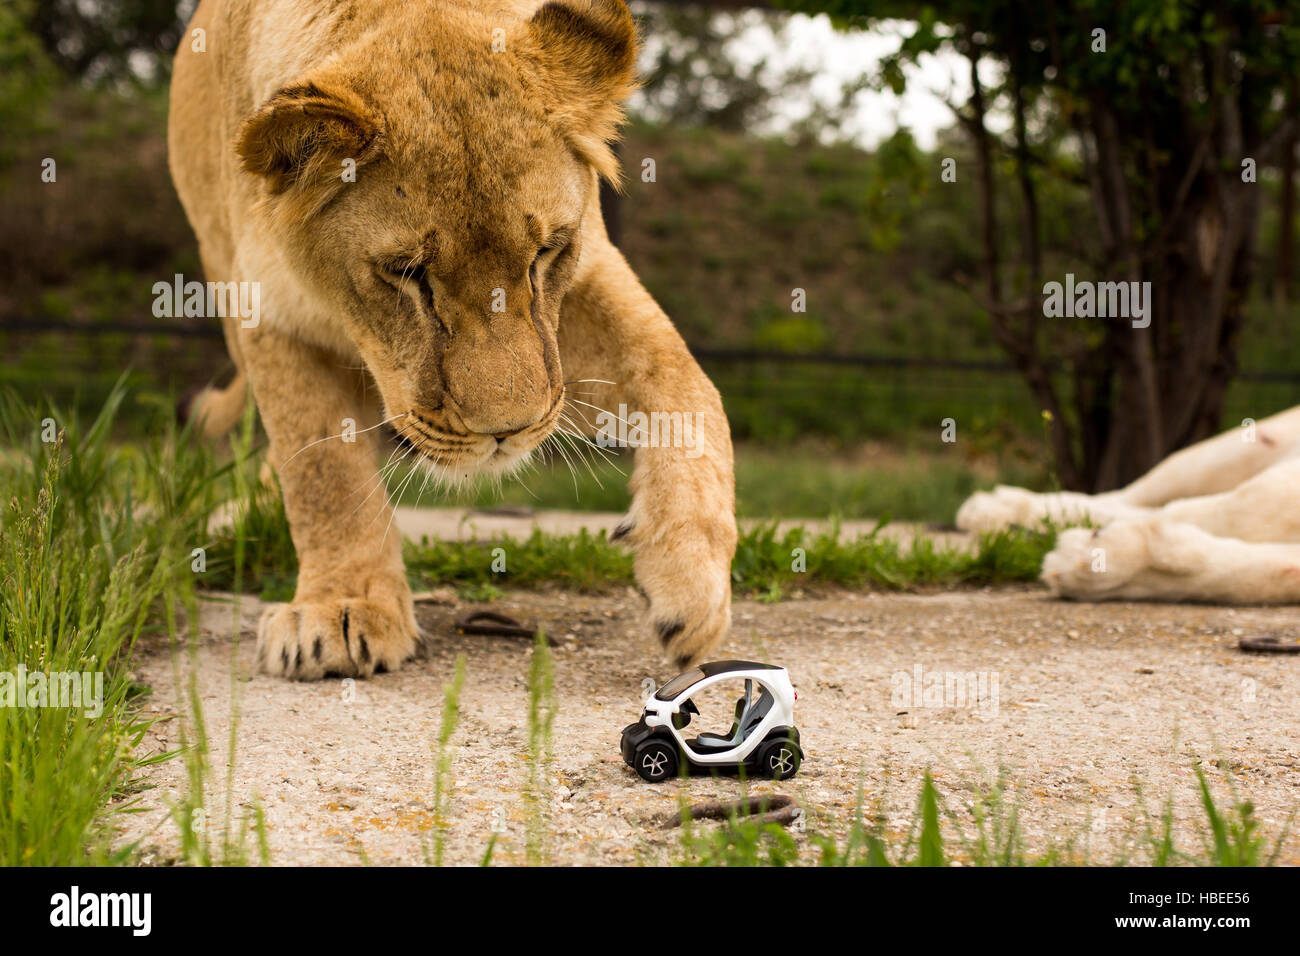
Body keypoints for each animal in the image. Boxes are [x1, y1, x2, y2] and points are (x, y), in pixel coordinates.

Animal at [956, 405, 1300, 600]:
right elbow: (1251, 507)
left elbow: (1268, 576)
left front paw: (1097, 561)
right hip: (1236, 448)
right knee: (1125, 496)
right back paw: (999, 509)